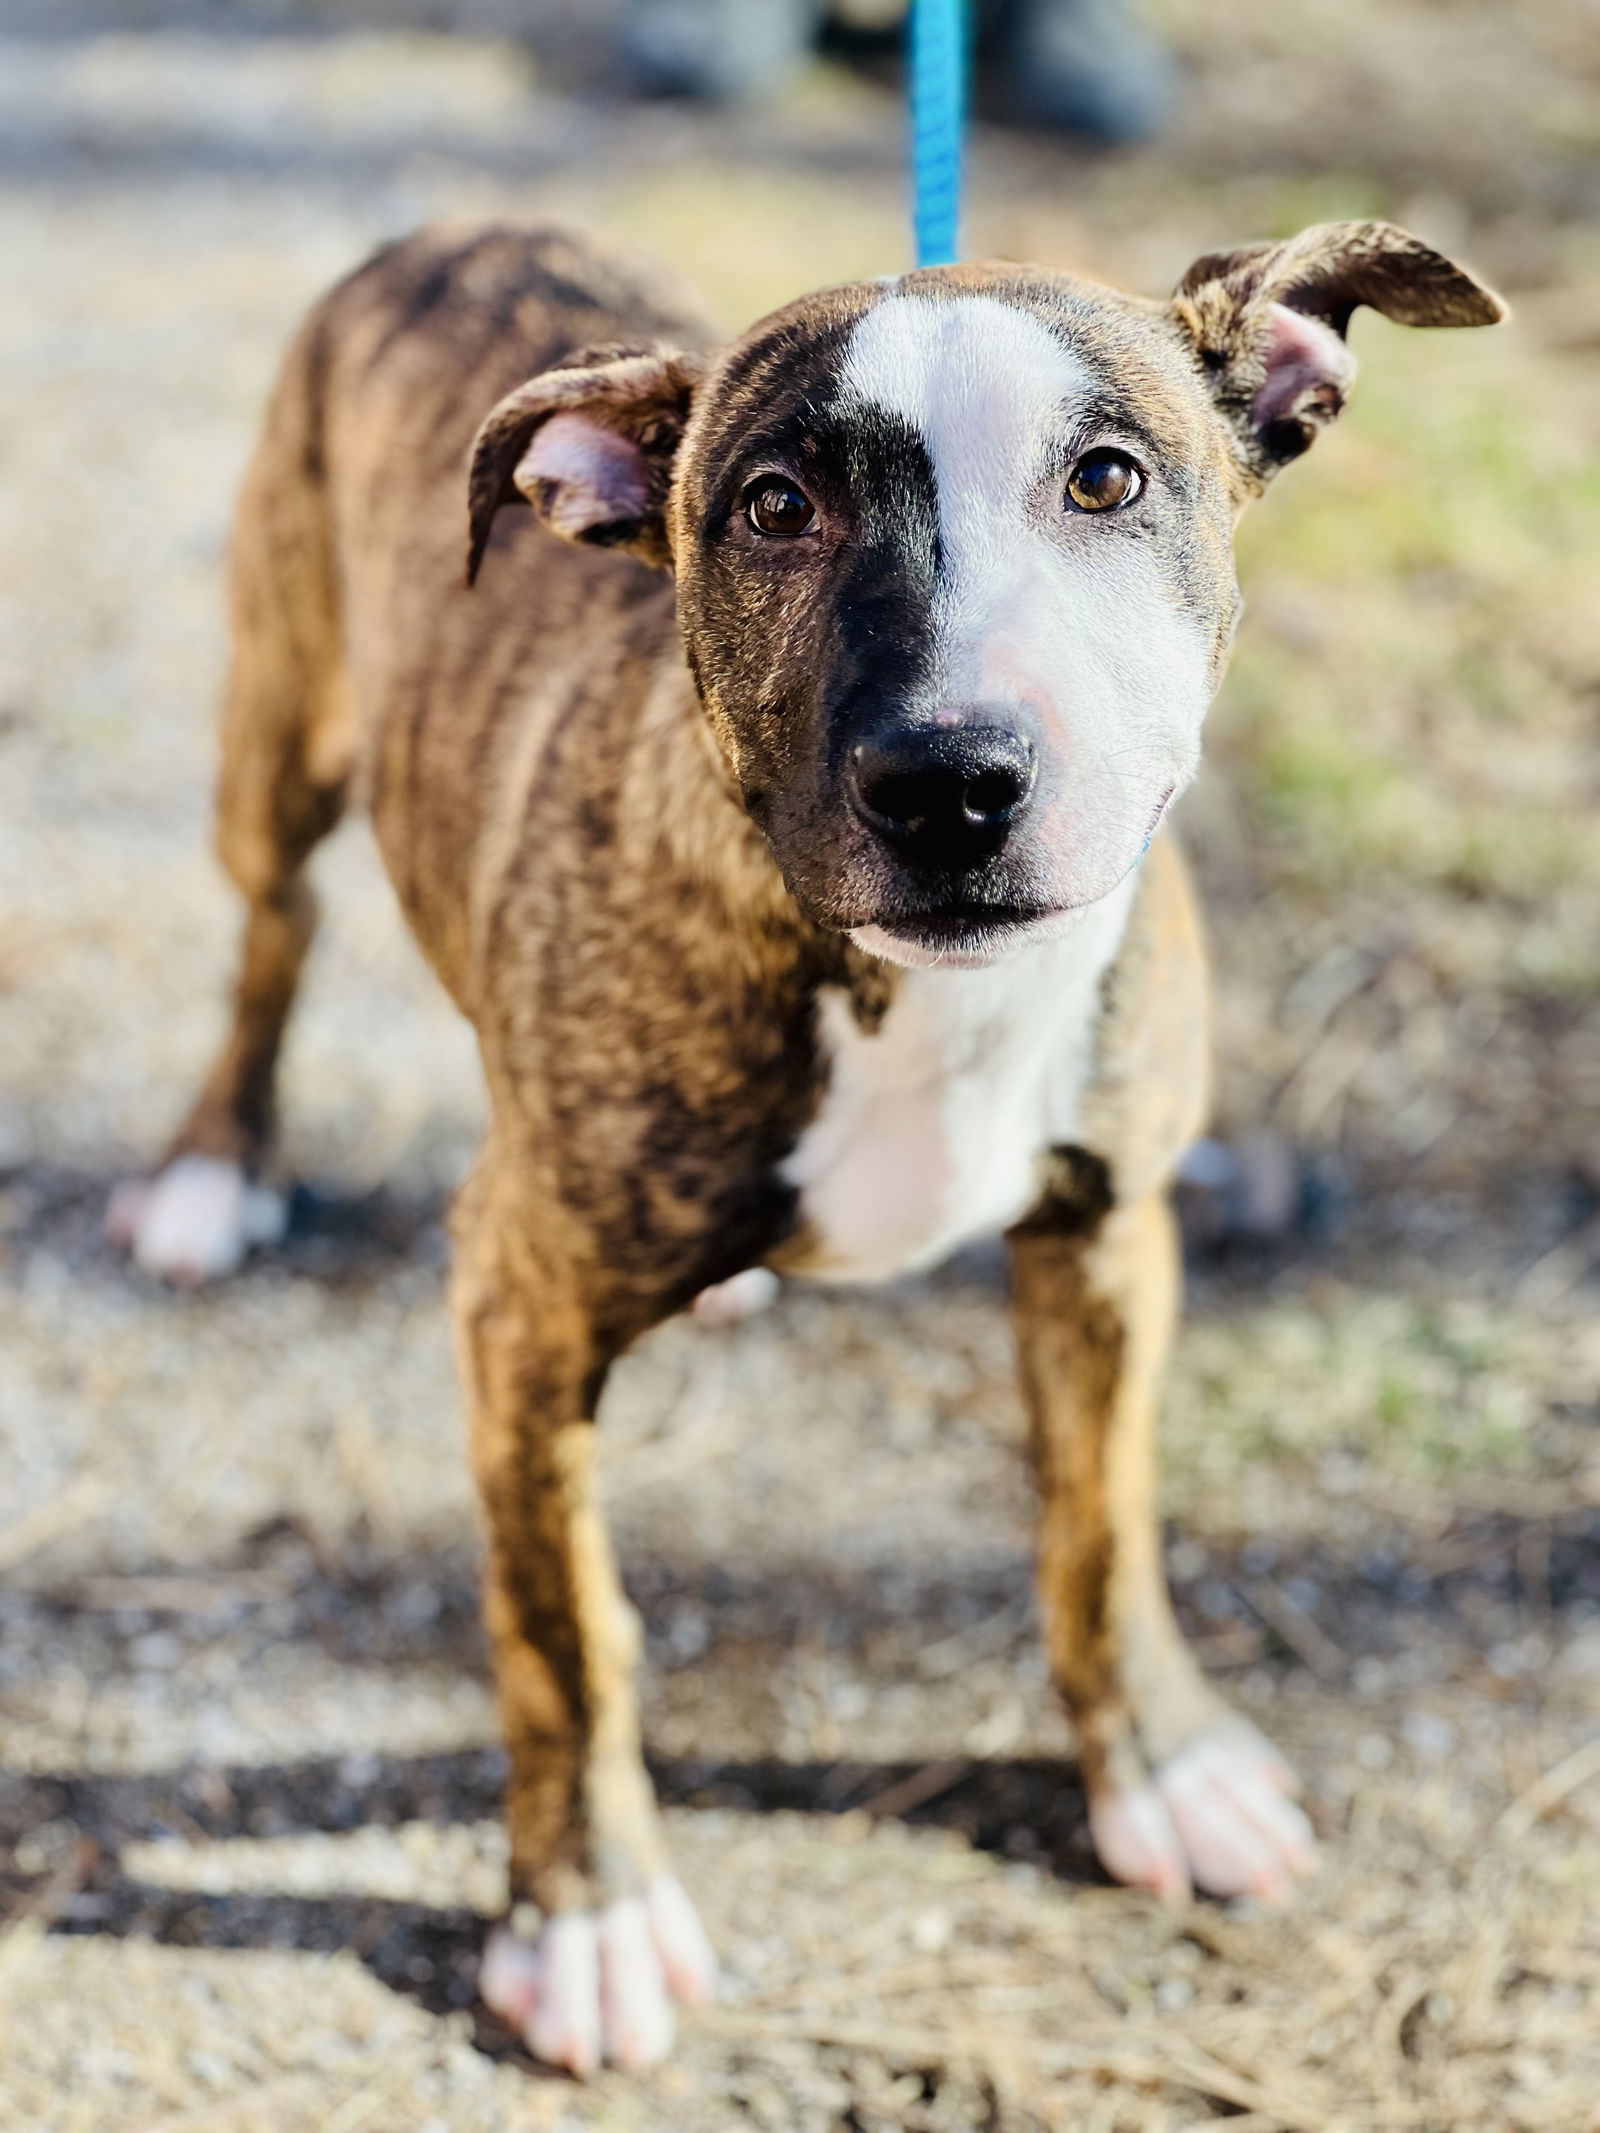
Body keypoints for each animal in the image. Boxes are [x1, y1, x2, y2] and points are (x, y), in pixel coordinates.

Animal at [109, 216, 1501, 2064]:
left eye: (1110, 478)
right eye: (773, 506)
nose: (953, 780)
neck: (917, 995)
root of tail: (451, 229)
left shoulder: (1108, 1235)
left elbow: (1102, 1522)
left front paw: (1166, 1766)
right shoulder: (516, 1308)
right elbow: (567, 1630)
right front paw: (588, 1916)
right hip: (275, 734)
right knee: (270, 937)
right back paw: (212, 1167)